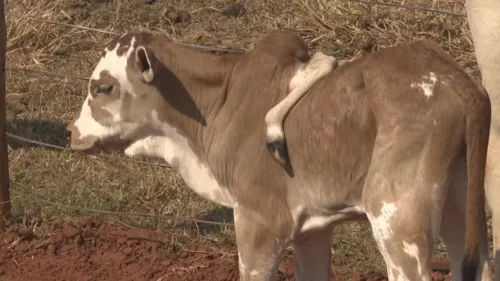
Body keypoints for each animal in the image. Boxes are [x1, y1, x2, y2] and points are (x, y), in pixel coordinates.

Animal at [66, 30, 492, 280]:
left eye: (102, 87)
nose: (72, 133)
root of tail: (448, 73)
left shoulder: (259, 221)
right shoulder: (312, 229)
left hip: (398, 222)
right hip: (458, 206)